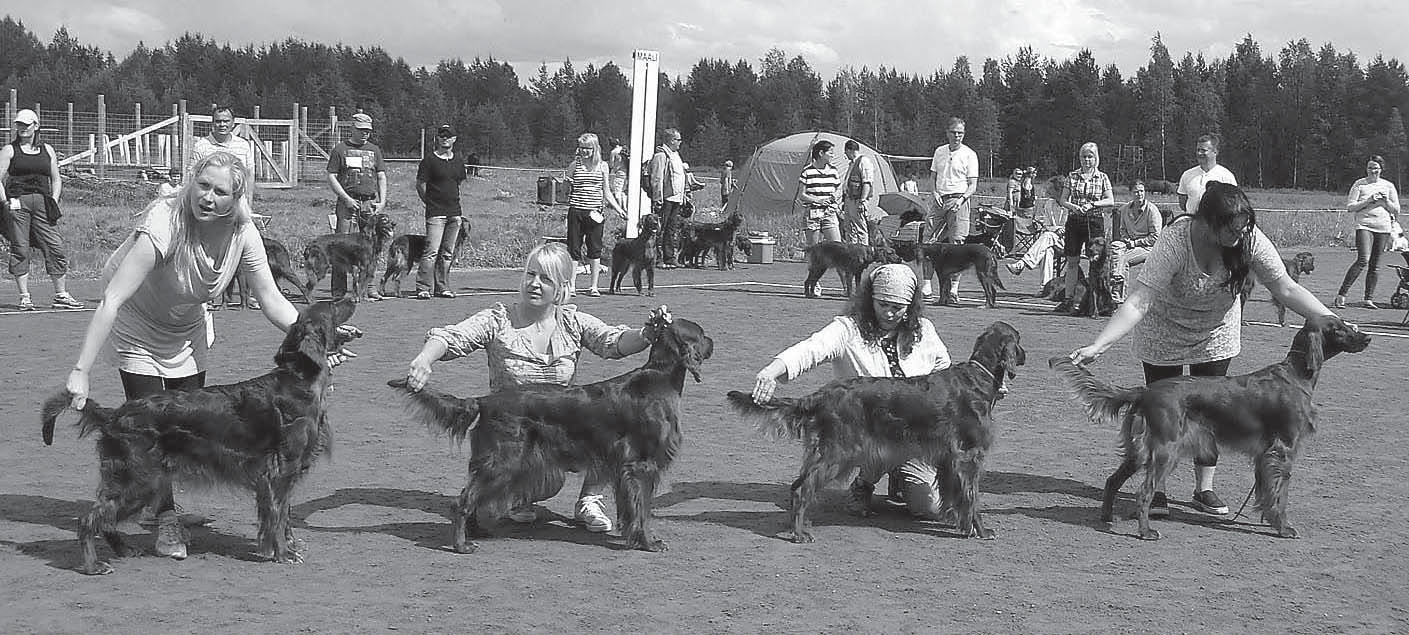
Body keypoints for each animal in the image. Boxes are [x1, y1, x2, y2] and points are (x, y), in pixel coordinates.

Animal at [39, 299, 357, 577]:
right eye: (333, 304)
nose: (352, 296)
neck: (298, 382)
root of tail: (114, 414)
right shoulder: (280, 471)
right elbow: (278, 517)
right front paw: (282, 553)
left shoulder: (283, 475)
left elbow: (285, 515)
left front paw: (288, 545)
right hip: (139, 479)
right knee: (89, 519)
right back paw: (94, 566)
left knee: (105, 519)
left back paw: (124, 550)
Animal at [727, 321, 1025, 543]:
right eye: (1019, 339)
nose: (1024, 355)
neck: (978, 378)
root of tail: (822, 394)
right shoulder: (969, 456)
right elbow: (972, 497)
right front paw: (981, 530)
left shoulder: (949, 459)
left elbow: (954, 495)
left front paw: (958, 523)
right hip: (838, 452)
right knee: (801, 489)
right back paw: (800, 534)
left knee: (798, 485)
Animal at [1053, 315, 1369, 540]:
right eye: (1339, 328)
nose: (1366, 337)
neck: (1296, 374)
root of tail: (1145, 391)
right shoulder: (1283, 449)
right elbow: (1280, 493)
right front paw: (1283, 528)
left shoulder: (1264, 454)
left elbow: (1266, 492)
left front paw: (1267, 520)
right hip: (1165, 449)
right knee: (1144, 492)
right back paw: (1145, 532)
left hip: (1140, 450)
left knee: (1112, 480)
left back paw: (1106, 517)